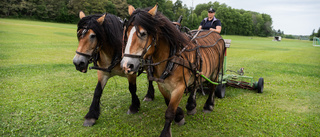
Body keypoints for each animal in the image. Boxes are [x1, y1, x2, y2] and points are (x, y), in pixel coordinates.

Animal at [121, 4, 226, 137]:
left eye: (143, 33)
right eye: (126, 33)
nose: (126, 65)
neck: (171, 57)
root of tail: (217, 35)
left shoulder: (179, 87)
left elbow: (170, 111)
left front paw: (166, 131)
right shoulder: (162, 85)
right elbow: (168, 103)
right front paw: (180, 115)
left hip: (216, 70)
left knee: (213, 86)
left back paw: (209, 105)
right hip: (198, 70)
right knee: (196, 83)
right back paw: (191, 105)